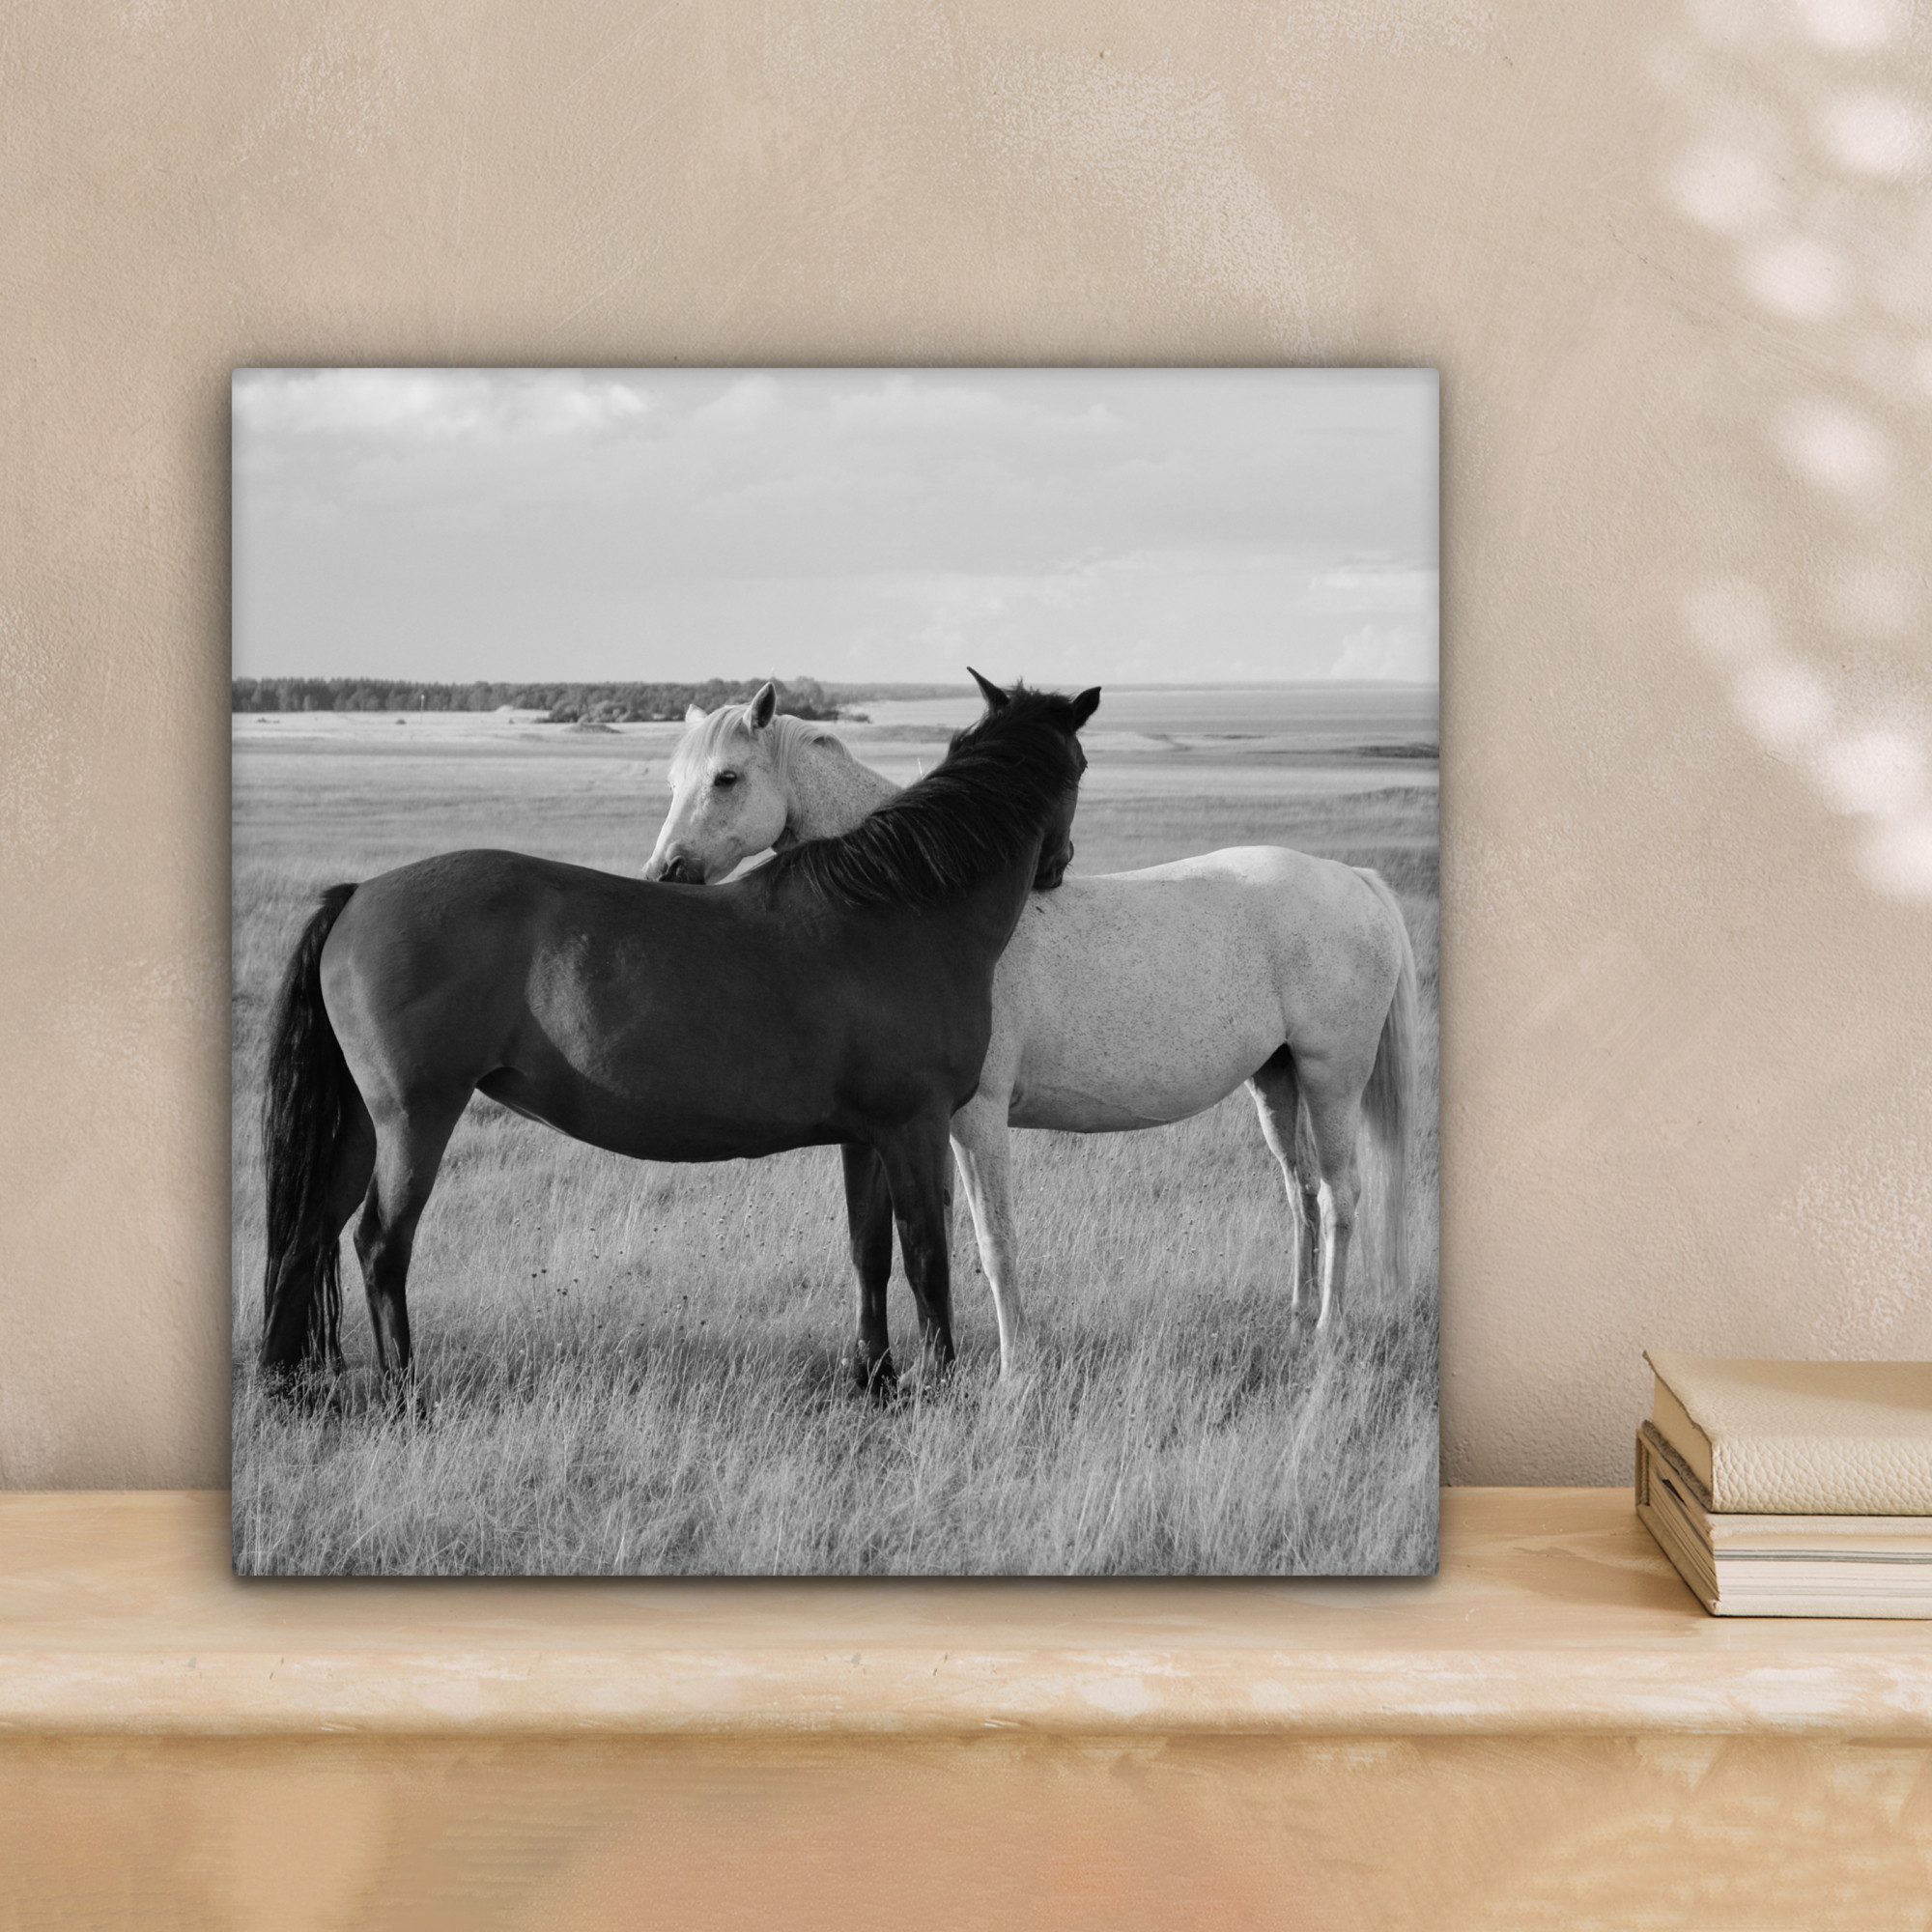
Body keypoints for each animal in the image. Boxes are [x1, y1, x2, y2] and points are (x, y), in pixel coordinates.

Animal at [256, 674, 1097, 1402]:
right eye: (1083, 765)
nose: (1058, 867)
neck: (900, 907)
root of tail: (358, 894)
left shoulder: (867, 1137)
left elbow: (871, 1254)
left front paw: (878, 1382)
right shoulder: (915, 1128)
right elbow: (927, 1257)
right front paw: (941, 1387)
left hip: (359, 1125)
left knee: (307, 1235)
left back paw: (283, 1387)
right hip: (415, 1118)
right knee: (380, 1245)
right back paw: (407, 1398)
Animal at [646, 677, 1418, 1379]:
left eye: (726, 777)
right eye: (674, 780)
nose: (665, 873)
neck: (922, 901)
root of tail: (1352, 877)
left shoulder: (977, 1119)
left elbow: (994, 1242)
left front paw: (1016, 1365)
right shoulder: (925, 1125)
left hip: (1332, 1077)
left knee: (1339, 1195)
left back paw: (1328, 1335)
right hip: (1275, 1081)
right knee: (1300, 1192)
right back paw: (1297, 1322)